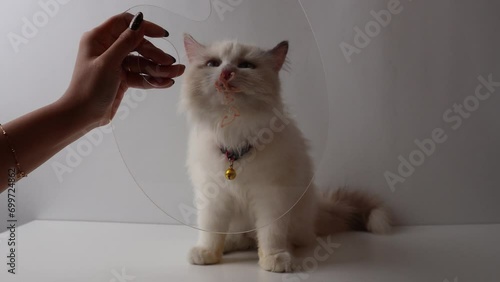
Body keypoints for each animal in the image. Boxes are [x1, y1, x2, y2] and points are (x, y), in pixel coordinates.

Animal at [180, 34, 390, 272]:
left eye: (245, 66)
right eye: (213, 64)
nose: (226, 73)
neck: (234, 133)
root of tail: (317, 211)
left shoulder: (272, 195)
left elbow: (271, 234)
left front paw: (274, 260)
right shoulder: (214, 196)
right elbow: (211, 231)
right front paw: (208, 254)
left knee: (279, 239)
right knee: (242, 238)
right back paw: (228, 245)